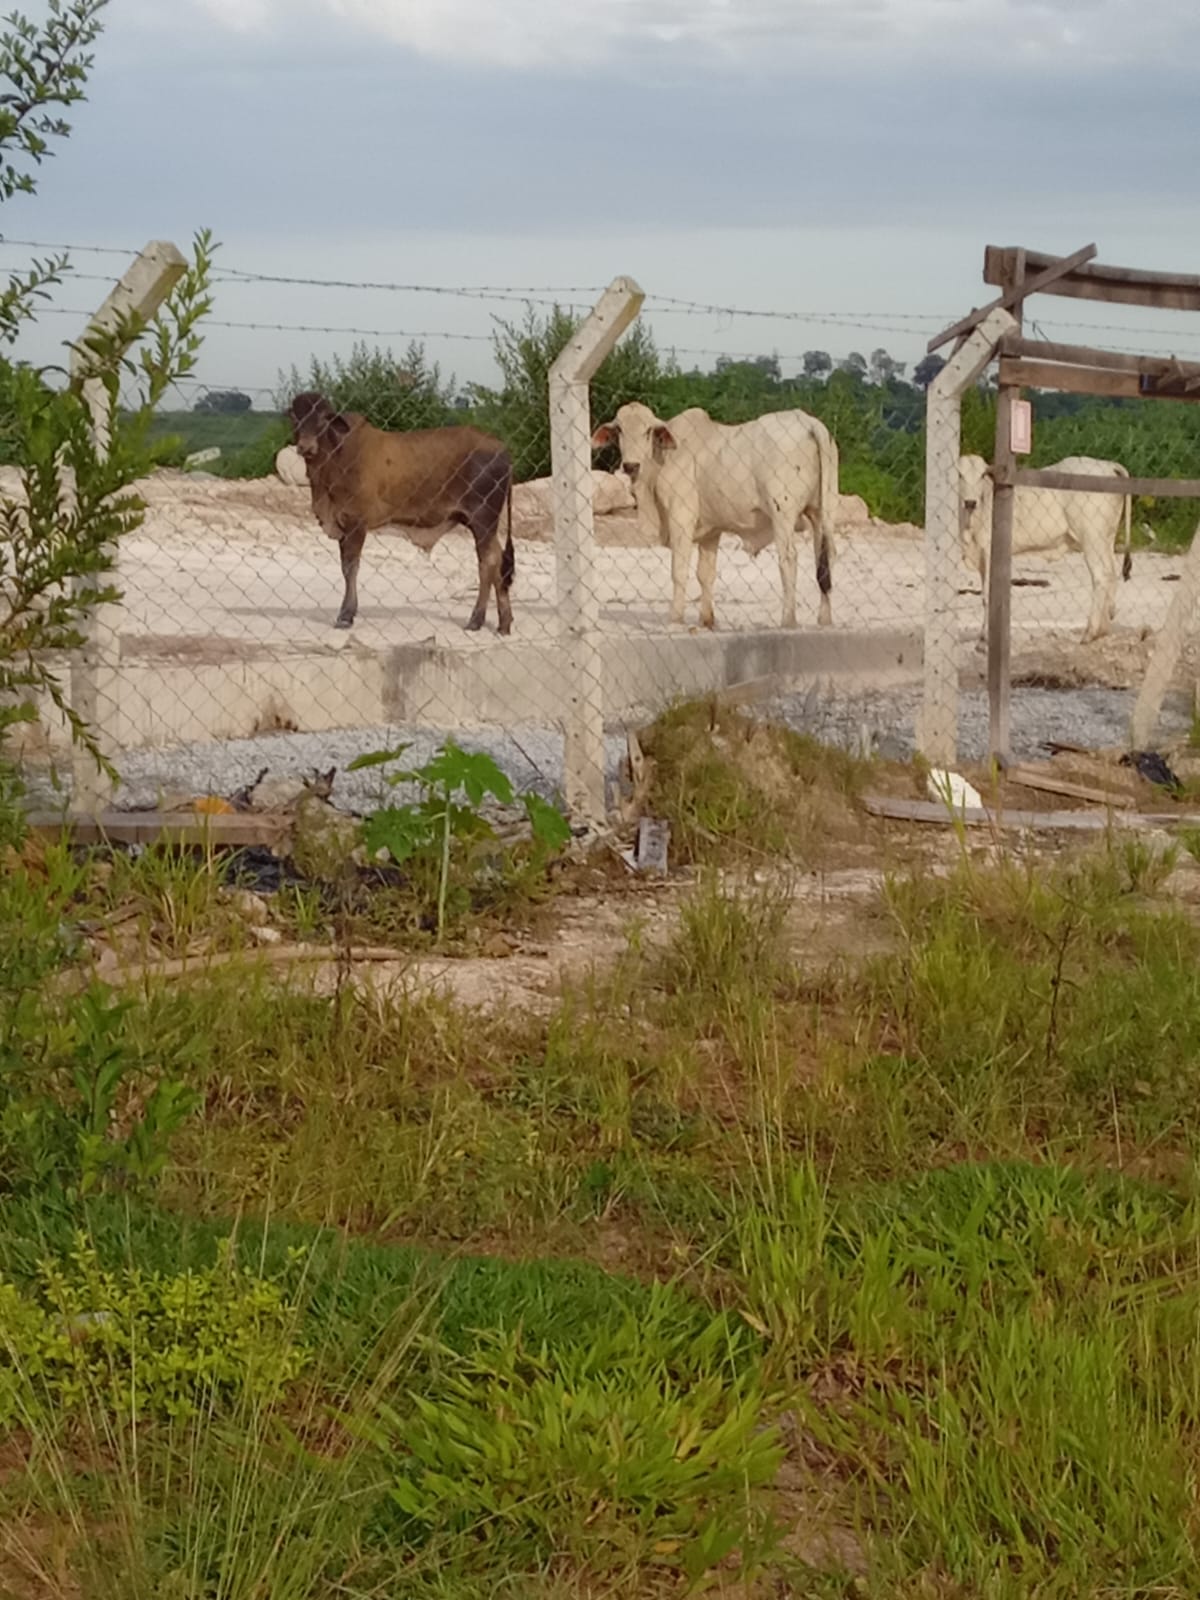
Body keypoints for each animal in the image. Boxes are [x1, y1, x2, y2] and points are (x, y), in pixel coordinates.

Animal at [289, 390, 518, 633]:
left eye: (324, 418)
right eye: (294, 416)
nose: (305, 447)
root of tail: (502, 449)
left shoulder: (355, 523)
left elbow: (351, 568)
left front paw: (346, 615)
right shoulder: (342, 526)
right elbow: (345, 568)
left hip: (483, 518)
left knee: (488, 563)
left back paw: (476, 619)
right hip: (483, 524)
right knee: (499, 562)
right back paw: (504, 623)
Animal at [588, 403, 838, 627]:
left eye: (648, 430)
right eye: (619, 430)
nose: (630, 465)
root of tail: (807, 422)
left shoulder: (681, 518)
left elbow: (679, 570)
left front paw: (675, 618)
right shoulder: (711, 531)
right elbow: (705, 574)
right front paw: (706, 620)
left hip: (782, 514)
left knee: (789, 560)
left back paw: (788, 620)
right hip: (821, 513)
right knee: (824, 560)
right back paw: (824, 620)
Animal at [960, 451, 1139, 643]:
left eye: (982, 475)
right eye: (959, 475)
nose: (970, 502)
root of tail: (1108, 465)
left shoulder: (988, 551)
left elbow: (987, 595)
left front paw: (986, 636)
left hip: (1092, 538)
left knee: (1101, 576)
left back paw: (1090, 632)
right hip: (1106, 539)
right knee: (1111, 573)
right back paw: (1103, 628)